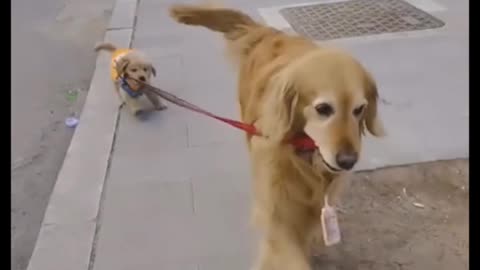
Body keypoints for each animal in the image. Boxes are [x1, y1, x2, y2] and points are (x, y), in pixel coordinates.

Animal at [171, 2, 384, 270]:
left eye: (359, 109)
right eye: (323, 109)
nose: (348, 161)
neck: (303, 152)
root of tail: (267, 32)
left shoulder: (310, 210)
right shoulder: (278, 214)